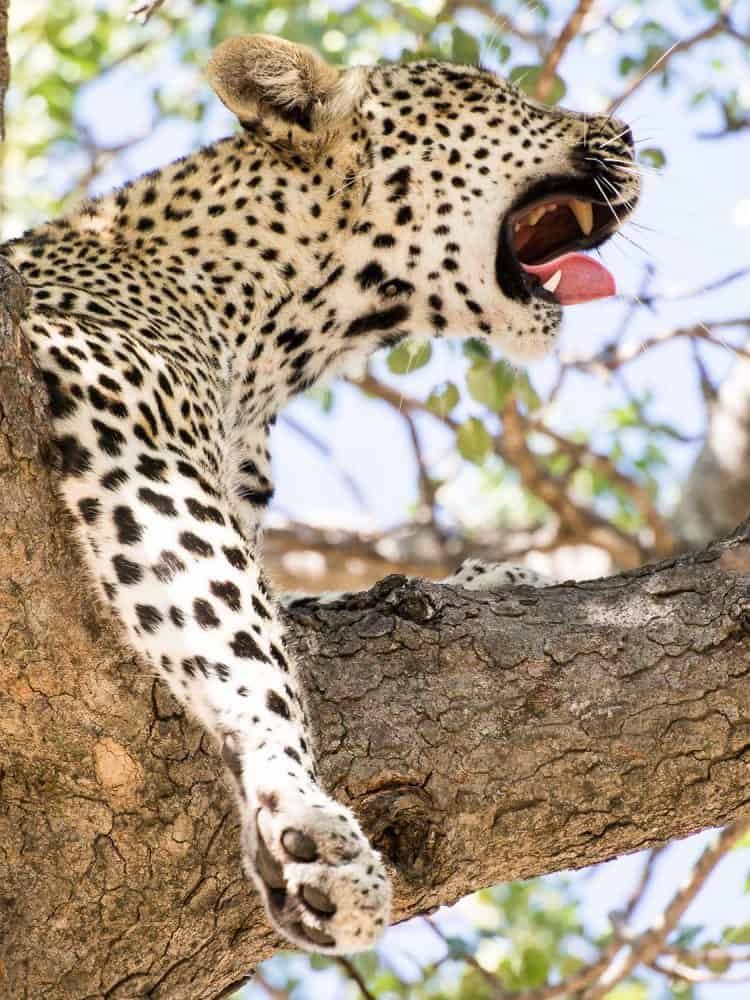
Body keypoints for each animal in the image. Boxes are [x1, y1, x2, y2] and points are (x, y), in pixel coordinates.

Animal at [1, 35, 640, 956]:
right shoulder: (130, 436)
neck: (272, 340)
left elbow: (302, 610)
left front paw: (503, 577)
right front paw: (303, 817)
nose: (627, 133)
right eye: (487, 90)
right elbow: (241, 642)